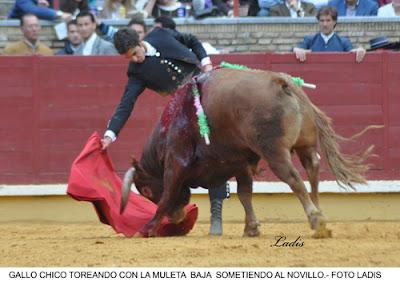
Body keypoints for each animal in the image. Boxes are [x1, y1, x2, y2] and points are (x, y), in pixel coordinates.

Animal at [120, 68, 374, 238]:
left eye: (145, 190)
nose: (177, 218)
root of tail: (281, 81)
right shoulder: (241, 163)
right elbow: (245, 194)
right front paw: (251, 228)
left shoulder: (176, 162)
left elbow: (166, 196)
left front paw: (147, 229)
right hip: (307, 146)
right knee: (313, 173)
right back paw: (321, 217)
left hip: (275, 152)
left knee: (294, 179)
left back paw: (316, 220)